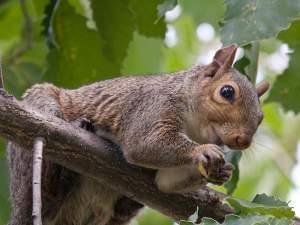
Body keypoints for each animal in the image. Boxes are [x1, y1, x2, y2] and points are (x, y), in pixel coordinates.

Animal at [7, 44, 270, 225]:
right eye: (227, 92)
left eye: (261, 117)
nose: (243, 141)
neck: (195, 128)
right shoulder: (151, 106)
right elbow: (142, 143)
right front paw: (200, 150)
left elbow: (165, 182)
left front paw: (222, 171)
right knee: (46, 190)